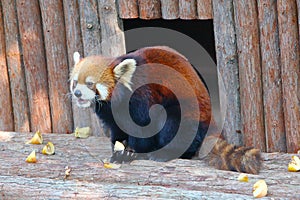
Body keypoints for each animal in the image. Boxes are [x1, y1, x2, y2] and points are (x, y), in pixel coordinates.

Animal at [69, 46, 260, 173]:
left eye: (90, 84)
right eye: (75, 82)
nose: (77, 93)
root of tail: (211, 121)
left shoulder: (140, 98)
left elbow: (142, 129)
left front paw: (133, 153)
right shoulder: (110, 113)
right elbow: (117, 131)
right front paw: (119, 151)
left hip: (186, 113)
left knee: (173, 125)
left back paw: (165, 153)